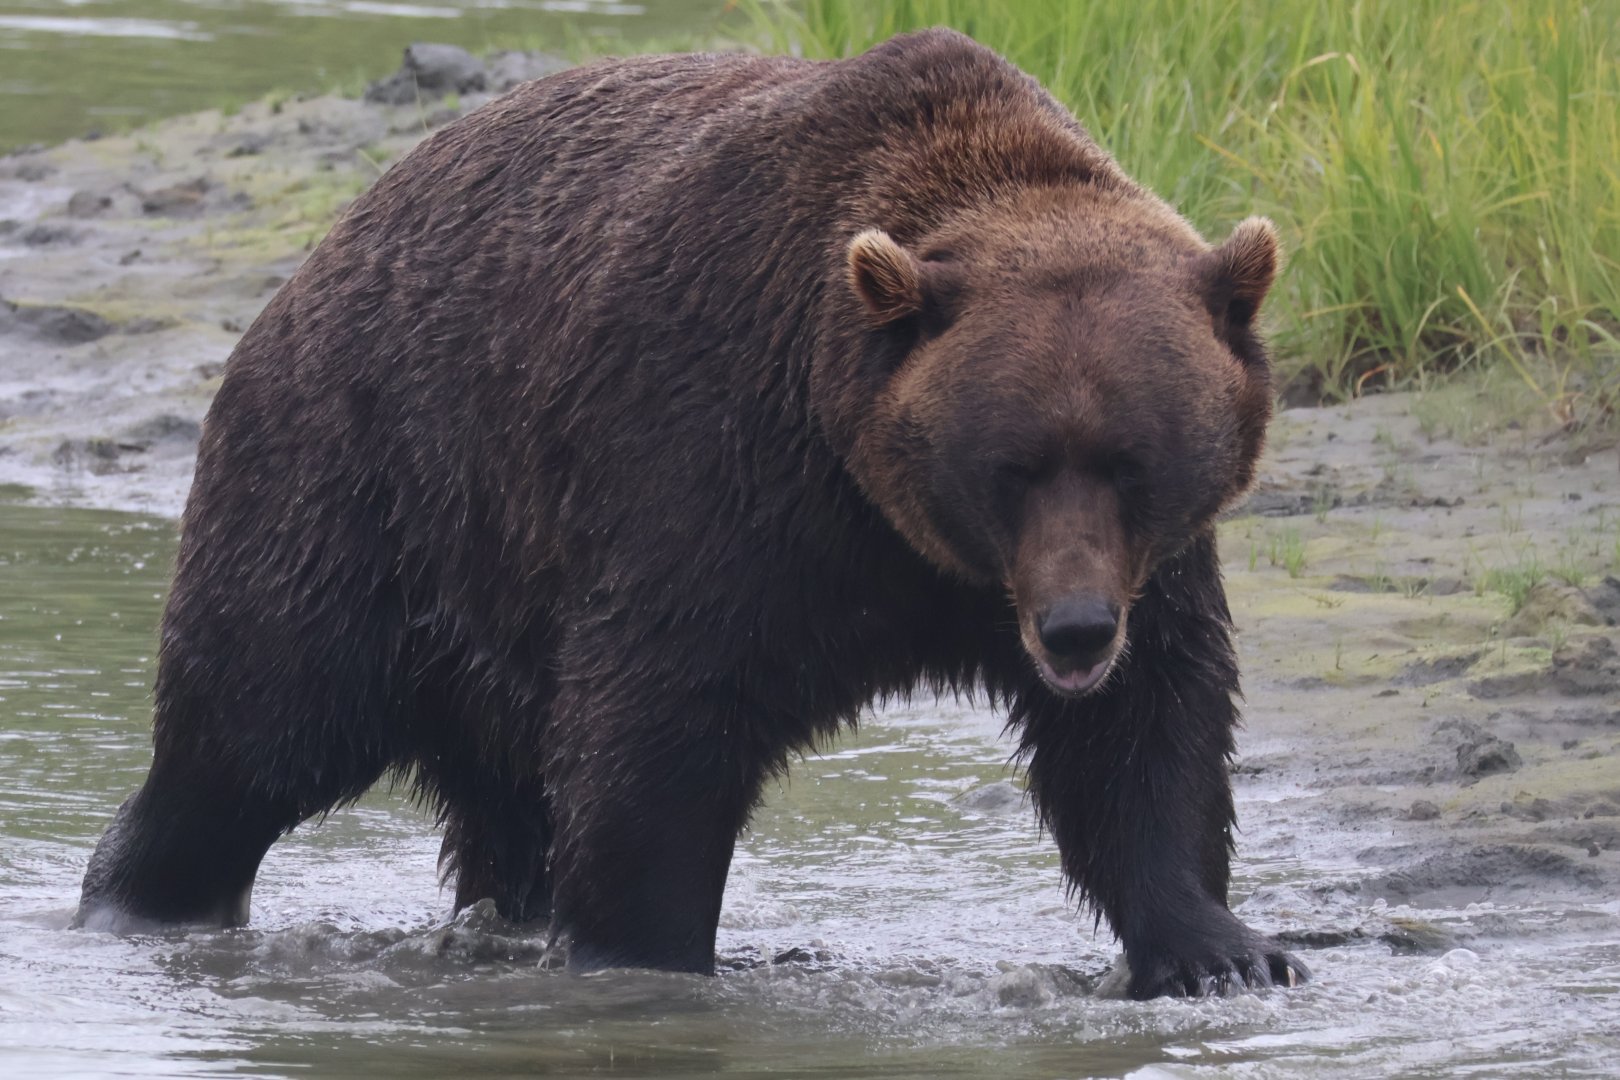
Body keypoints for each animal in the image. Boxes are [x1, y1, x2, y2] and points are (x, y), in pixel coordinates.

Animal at [74, 28, 1307, 1000]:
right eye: (1011, 464)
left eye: (1135, 461)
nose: (1074, 629)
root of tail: (313, 257)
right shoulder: (716, 468)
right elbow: (659, 725)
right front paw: (648, 962)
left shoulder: (1134, 567)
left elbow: (1147, 736)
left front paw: (1225, 950)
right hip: (363, 487)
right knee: (255, 725)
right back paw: (140, 901)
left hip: (490, 605)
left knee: (500, 795)